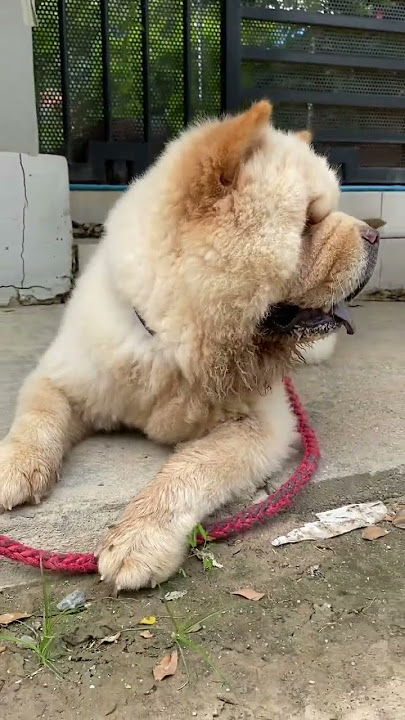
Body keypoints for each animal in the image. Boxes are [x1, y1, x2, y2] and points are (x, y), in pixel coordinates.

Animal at [0, 101, 378, 588]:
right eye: (309, 222)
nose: (374, 235)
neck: (170, 343)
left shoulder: (263, 423)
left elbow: (193, 466)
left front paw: (139, 539)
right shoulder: (62, 374)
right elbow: (36, 417)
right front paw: (14, 467)